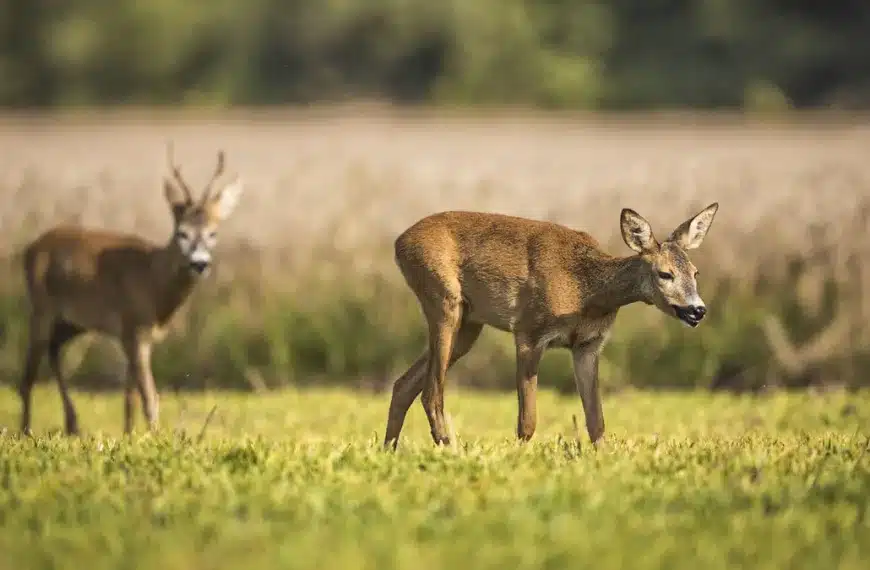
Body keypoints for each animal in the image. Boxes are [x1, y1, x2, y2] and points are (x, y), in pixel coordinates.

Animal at [17, 144, 249, 432]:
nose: (199, 264)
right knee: (27, 375)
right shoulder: (135, 329)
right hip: (41, 307)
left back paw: (72, 424)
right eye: (181, 233)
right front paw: (155, 435)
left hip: (72, 322)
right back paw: (26, 431)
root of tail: (29, 249)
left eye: (213, 233)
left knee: (53, 350)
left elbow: (130, 399)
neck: (153, 280)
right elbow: (149, 396)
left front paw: (130, 435)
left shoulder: (135, 334)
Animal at [384, 202, 720, 446]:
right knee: (431, 392)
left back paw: (391, 451)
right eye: (665, 274)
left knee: (404, 385)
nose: (698, 310)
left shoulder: (587, 346)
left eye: (695, 272)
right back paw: (450, 449)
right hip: (443, 300)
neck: (587, 291)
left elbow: (596, 423)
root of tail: (399, 242)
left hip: (469, 324)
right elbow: (527, 422)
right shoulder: (528, 331)